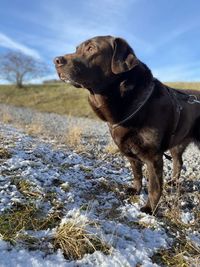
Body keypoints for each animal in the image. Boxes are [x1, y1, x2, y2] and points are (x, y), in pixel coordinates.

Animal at [53, 36, 200, 216]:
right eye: (77, 49)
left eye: (91, 48)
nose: (56, 60)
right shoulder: (129, 152)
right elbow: (137, 174)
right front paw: (135, 190)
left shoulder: (153, 156)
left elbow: (154, 186)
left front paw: (150, 208)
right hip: (178, 143)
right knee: (178, 162)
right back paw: (173, 182)